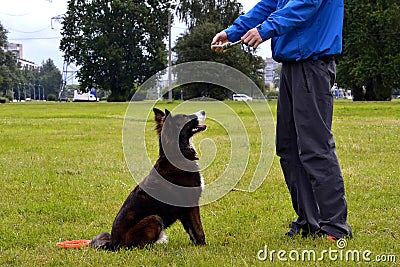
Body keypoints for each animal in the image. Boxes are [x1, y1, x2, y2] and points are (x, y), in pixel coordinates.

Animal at [91, 108, 208, 250]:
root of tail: (113, 244)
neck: (177, 154)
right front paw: (205, 247)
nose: (203, 111)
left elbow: (192, 231)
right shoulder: (191, 204)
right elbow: (199, 230)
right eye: (186, 117)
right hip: (154, 218)